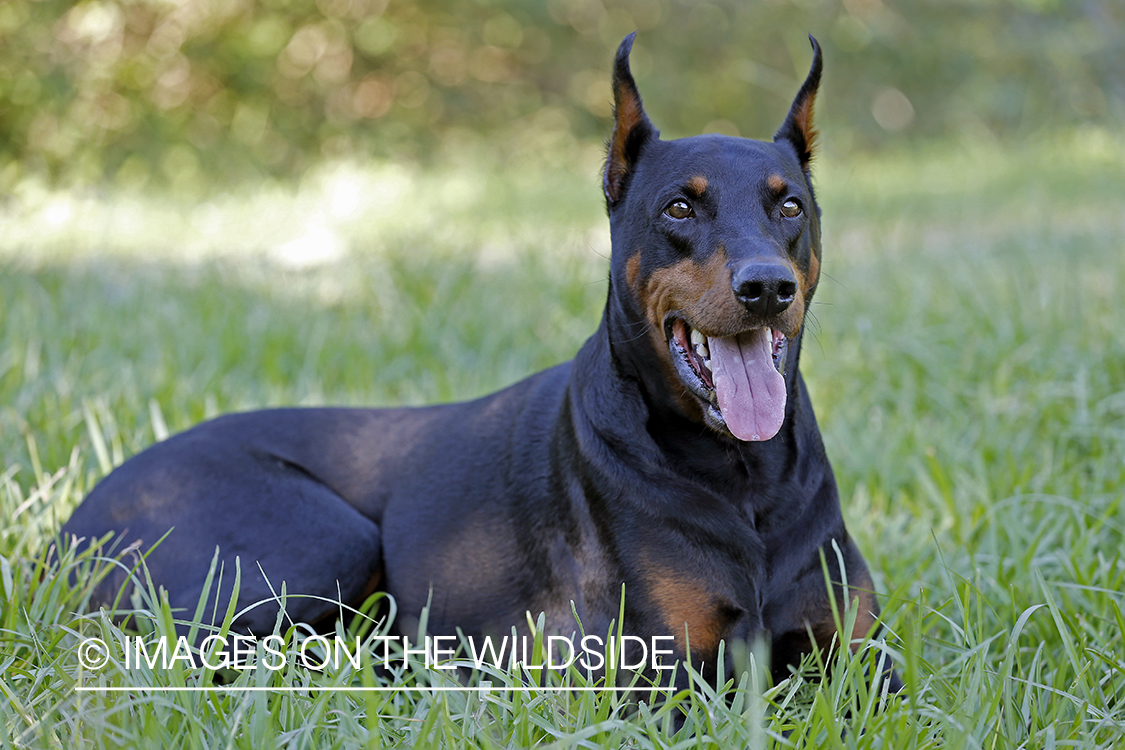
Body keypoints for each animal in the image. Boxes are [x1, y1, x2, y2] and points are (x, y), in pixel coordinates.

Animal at [63, 33, 904, 692]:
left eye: (789, 205)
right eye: (679, 207)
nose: (766, 286)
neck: (741, 473)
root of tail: (69, 524)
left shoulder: (863, 662)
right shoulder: (657, 675)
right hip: (321, 542)